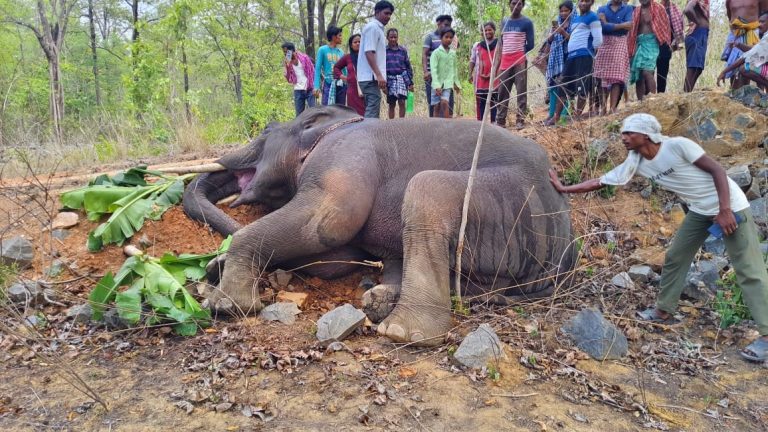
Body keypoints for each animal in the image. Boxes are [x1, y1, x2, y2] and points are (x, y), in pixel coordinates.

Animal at [183, 105, 576, 346]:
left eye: (264, 130)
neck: (339, 122)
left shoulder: (343, 157)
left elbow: (328, 225)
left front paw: (223, 304)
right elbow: (334, 258)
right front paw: (215, 271)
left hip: (513, 203)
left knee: (426, 190)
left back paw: (401, 330)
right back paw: (379, 300)